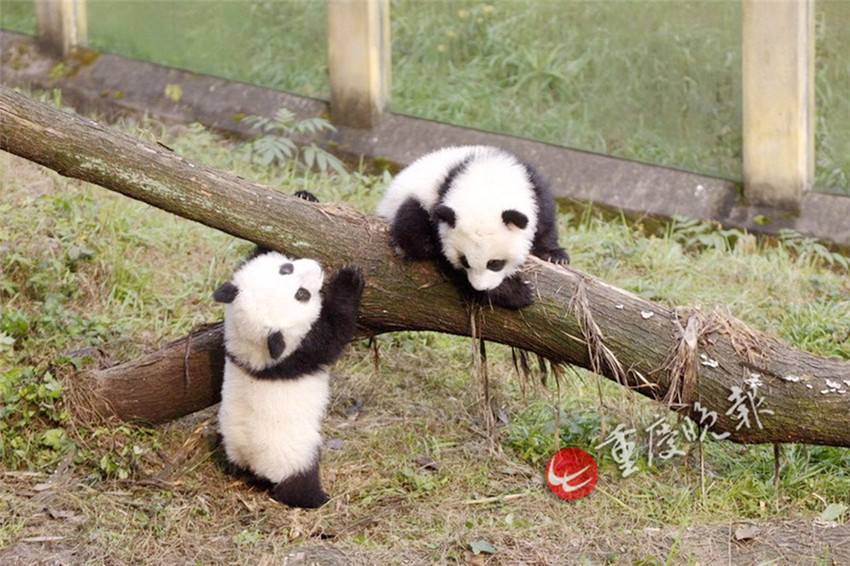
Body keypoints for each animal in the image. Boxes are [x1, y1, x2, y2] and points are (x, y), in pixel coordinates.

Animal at [213, 247, 364, 508]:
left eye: (286, 269)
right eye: (302, 295)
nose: (317, 267)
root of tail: (254, 466)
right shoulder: (298, 352)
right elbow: (334, 334)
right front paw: (349, 279)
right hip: (293, 454)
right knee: (299, 482)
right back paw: (318, 498)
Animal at [376, 145, 569, 310]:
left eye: (495, 263)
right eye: (464, 261)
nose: (480, 287)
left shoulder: (534, 186)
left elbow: (545, 222)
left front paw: (555, 256)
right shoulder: (440, 218)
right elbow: (447, 262)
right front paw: (517, 292)